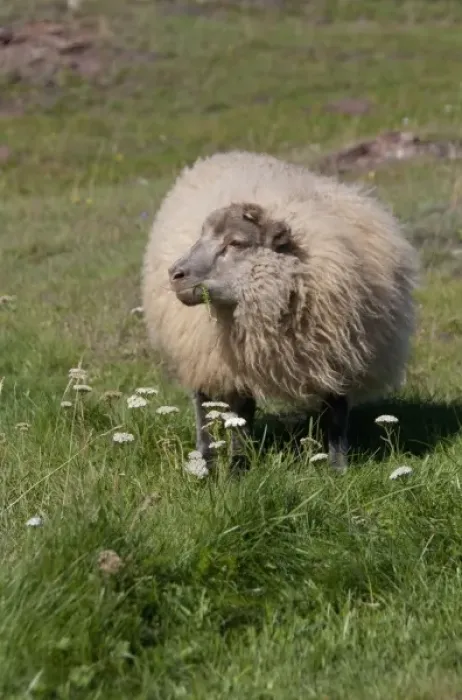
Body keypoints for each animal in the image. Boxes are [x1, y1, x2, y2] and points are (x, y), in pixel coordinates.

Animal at [141, 150, 419, 472]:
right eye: (202, 236)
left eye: (236, 242)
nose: (175, 274)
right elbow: (238, 414)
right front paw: (237, 466)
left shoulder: (339, 353)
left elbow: (337, 413)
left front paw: (338, 468)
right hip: (203, 354)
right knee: (207, 406)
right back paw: (208, 462)